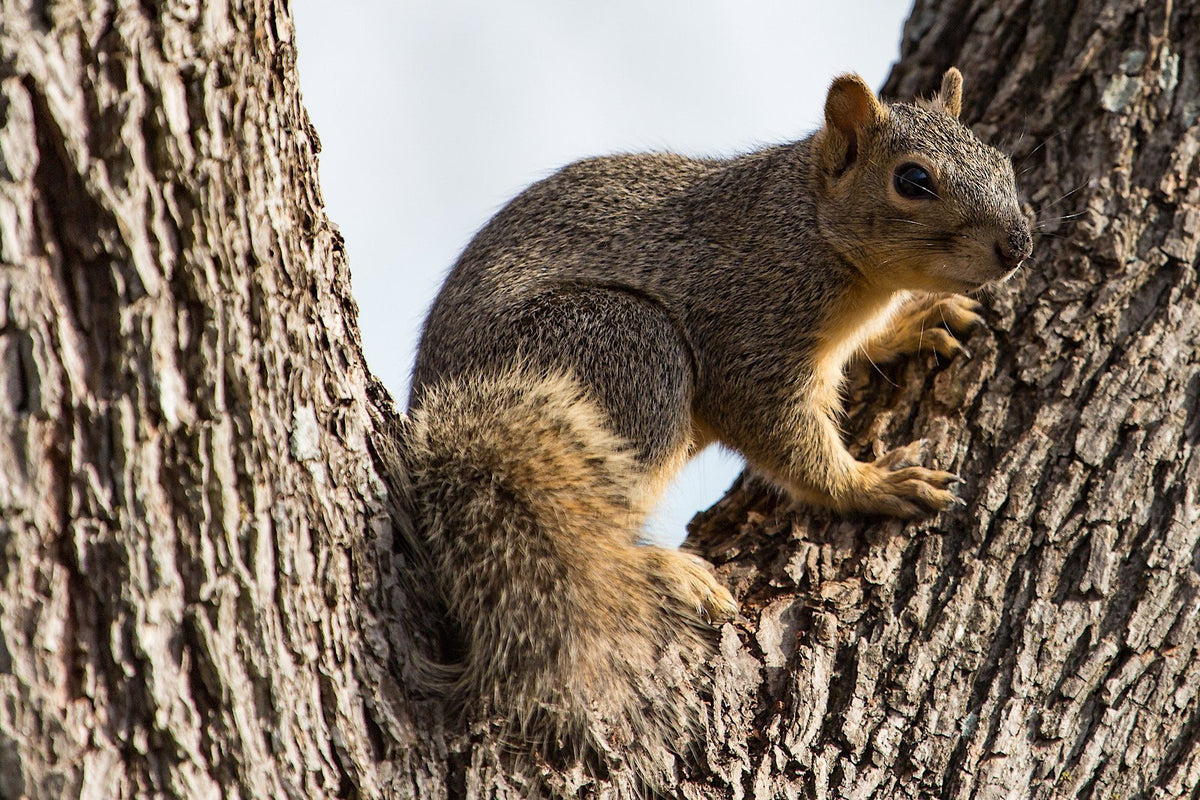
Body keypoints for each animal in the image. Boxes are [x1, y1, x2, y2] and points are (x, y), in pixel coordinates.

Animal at [400, 68, 1032, 786]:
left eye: (1002, 160)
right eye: (914, 180)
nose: (1019, 244)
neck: (810, 225)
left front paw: (916, 322)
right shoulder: (750, 335)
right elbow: (786, 440)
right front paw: (871, 484)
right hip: (627, 352)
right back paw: (661, 569)